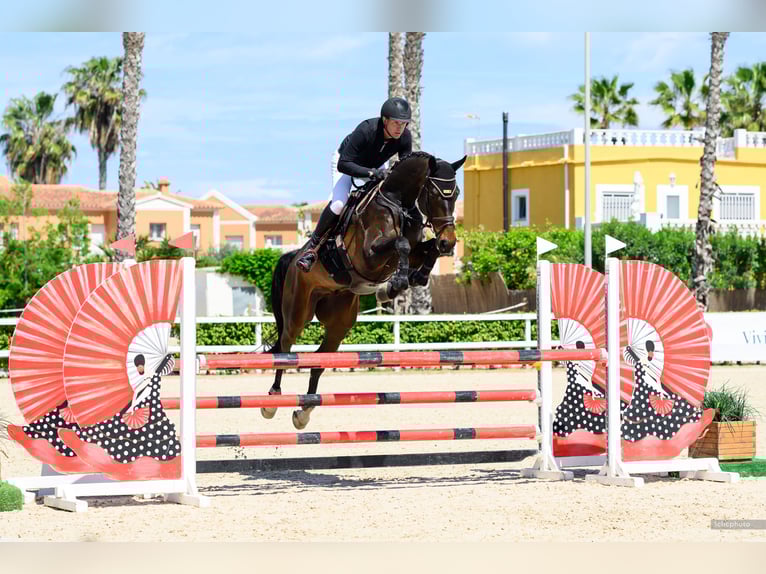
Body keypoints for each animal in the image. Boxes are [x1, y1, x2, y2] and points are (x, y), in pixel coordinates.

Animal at [262, 151, 466, 429]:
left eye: (456, 193)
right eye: (434, 194)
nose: (450, 242)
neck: (399, 202)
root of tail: (293, 257)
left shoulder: (414, 250)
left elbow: (427, 249)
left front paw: (415, 277)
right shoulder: (369, 255)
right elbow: (400, 244)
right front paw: (396, 284)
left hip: (340, 321)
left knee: (319, 360)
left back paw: (304, 411)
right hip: (297, 312)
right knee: (285, 347)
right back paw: (272, 401)